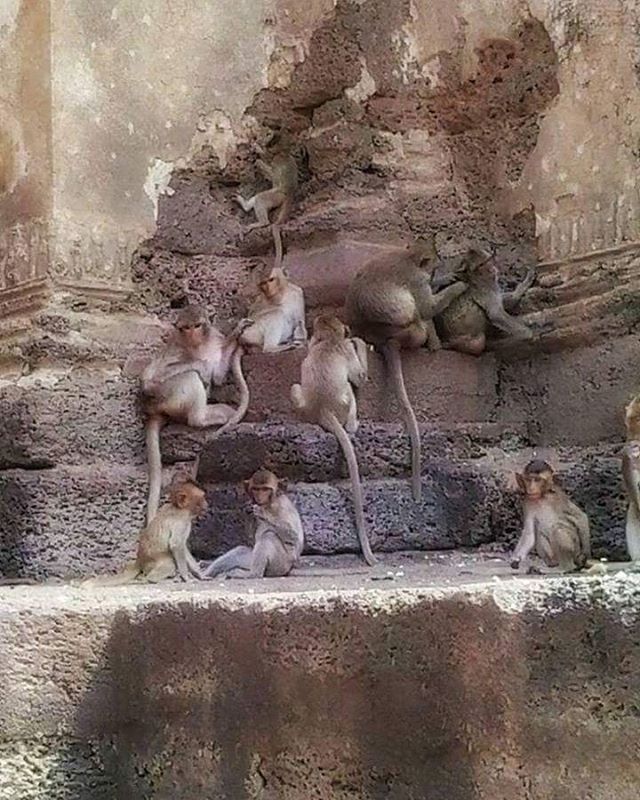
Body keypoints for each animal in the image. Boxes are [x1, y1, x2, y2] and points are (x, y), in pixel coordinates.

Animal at [141, 306, 249, 524]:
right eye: (186, 328)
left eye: (197, 325)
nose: (192, 335)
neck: (199, 345)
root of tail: (155, 411)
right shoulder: (175, 346)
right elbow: (148, 380)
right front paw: (200, 364)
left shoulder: (215, 339)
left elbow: (218, 376)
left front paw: (235, 335)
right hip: (167, 397)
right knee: (190, 376)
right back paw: (204, 416)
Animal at [290, 310, 376, 564]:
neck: (328, 339)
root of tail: (322, 409)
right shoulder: (344, 348)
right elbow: (360, 377)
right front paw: (360, 342)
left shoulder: (313, 343)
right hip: (344, 404)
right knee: (350, 389)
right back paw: (353, 425)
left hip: (302, 402)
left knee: (294, 388)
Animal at [344, 231, 464, 504]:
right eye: (433, 264)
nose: (436, 272)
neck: (408, 257)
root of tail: (384, 339)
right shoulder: (417, 282)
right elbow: (428, 306)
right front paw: (458, 286)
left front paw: (447, 279)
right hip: (409, 331)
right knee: (417, 315)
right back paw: (431, 340)